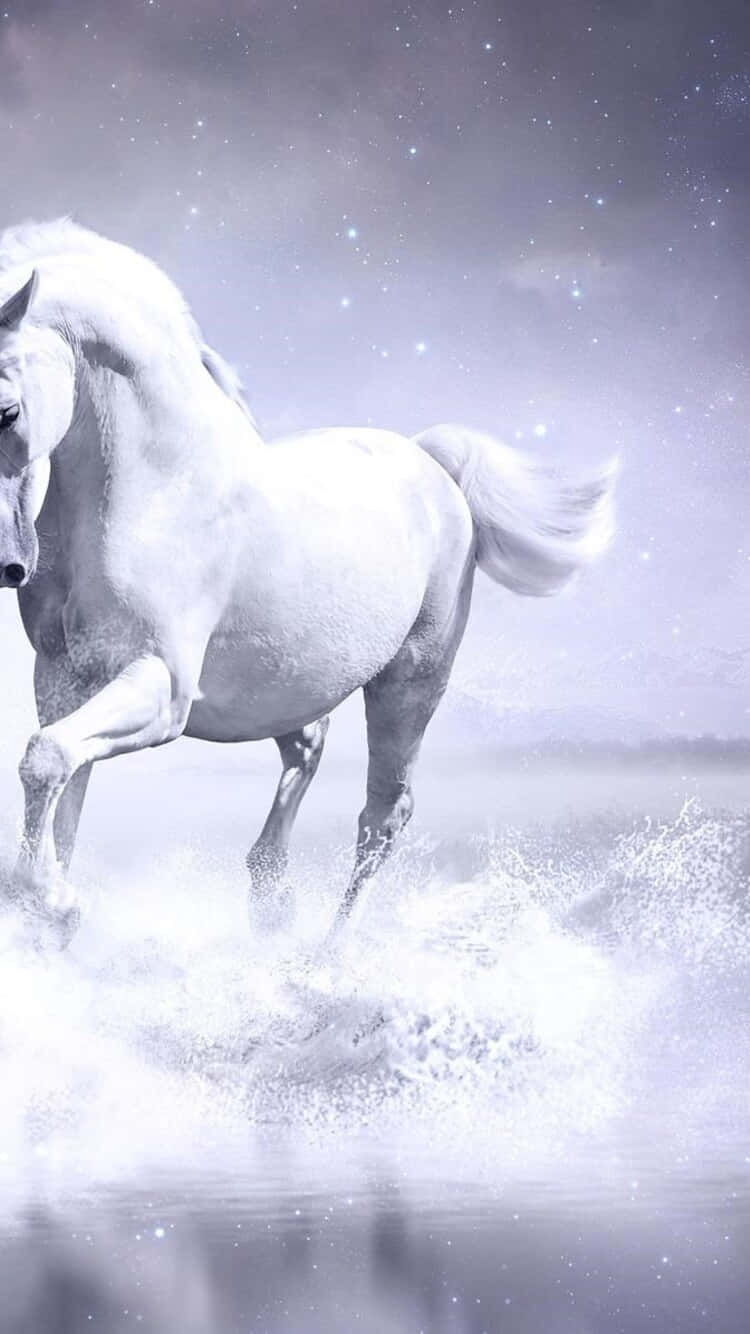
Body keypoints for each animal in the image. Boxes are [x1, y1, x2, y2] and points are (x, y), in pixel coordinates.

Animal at [0, 219, 616, 948]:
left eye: (6, 411)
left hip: (410, 683)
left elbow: (45, 761)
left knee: (383, 815)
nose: (9, 565)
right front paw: (53, 913)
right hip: (286, 684)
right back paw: (272, 901)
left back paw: (328, 953)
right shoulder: (64, 679)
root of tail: (432, 463)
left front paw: (49, 903)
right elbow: (65, 786)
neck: (155, 488)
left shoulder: (160, 687)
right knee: (309, 748)